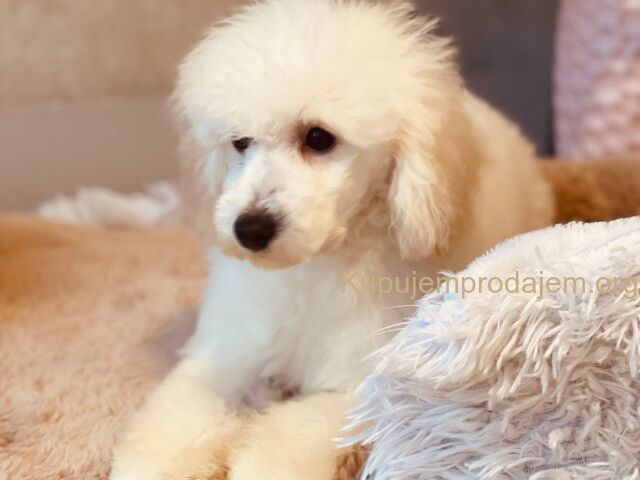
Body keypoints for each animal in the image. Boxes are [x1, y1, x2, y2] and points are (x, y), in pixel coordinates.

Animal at [110, 1, 554, 479]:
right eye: (240, 142)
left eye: (319, 137)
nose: (249, 229)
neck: (313, 269)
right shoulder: (226, 353)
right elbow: (180, 415)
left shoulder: (357, 382)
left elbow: (285, 442)